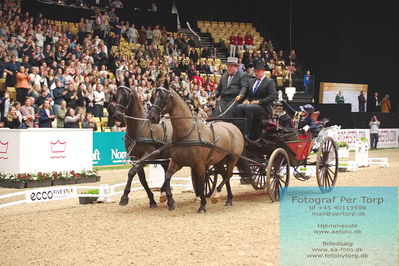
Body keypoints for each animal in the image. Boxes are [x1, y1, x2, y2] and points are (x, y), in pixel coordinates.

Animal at [148, 84, 245, 213]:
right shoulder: (176, 162)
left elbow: (200, 183)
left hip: (232, 158)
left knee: (228, 175)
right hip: (219, 161)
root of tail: (234, 127)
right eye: (154, 97)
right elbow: (167, 177)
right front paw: (170, 202)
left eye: (163, 98)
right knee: (225, 175)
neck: (187, 133)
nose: (152, 117)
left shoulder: (199, 164)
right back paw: (228, 199)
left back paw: (216, 194)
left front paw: (202, 206)